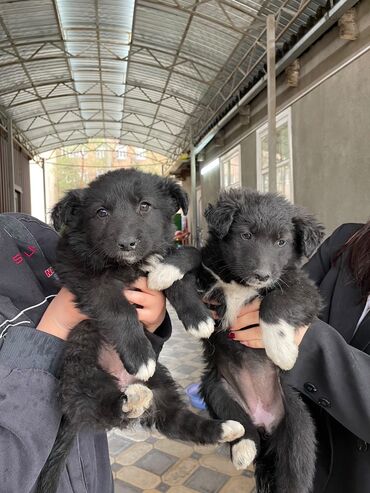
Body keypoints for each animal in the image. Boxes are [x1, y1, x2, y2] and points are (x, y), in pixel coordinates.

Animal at [150, 188, 324, 492]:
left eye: (281, 242)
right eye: (246, 235)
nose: (262, 275)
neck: (239, 282)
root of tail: (264, 421)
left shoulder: (305, 289)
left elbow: (276, 302)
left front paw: (282, 350)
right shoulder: (209, 271)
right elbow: (192, 254)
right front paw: (166, 272)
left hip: (298, 427)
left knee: (295, 471)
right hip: (218, 392)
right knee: (243, 427)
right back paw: (243, 448)